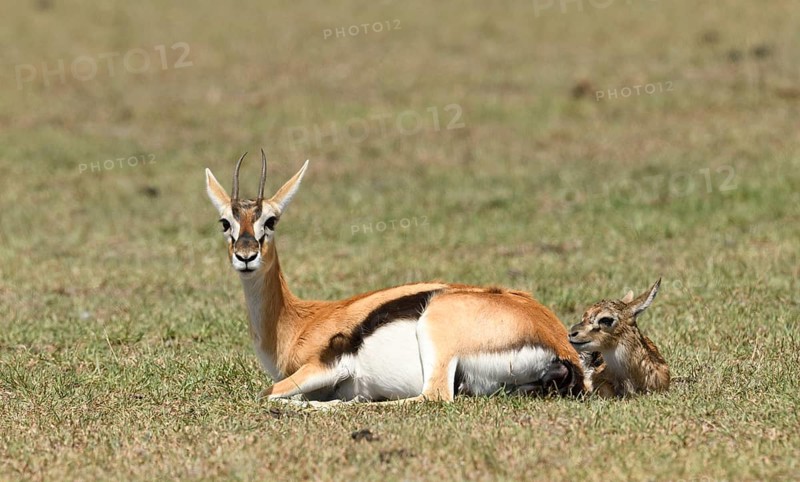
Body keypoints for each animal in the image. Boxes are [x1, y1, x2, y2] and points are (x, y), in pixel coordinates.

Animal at [204, 151, 584, 404]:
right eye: (225, 222)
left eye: (271, 220)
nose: (246, 256)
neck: (297, 322)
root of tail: (559, 342)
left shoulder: (323, 366)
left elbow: (267, 393)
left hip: (435, 334)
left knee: (429, 397)